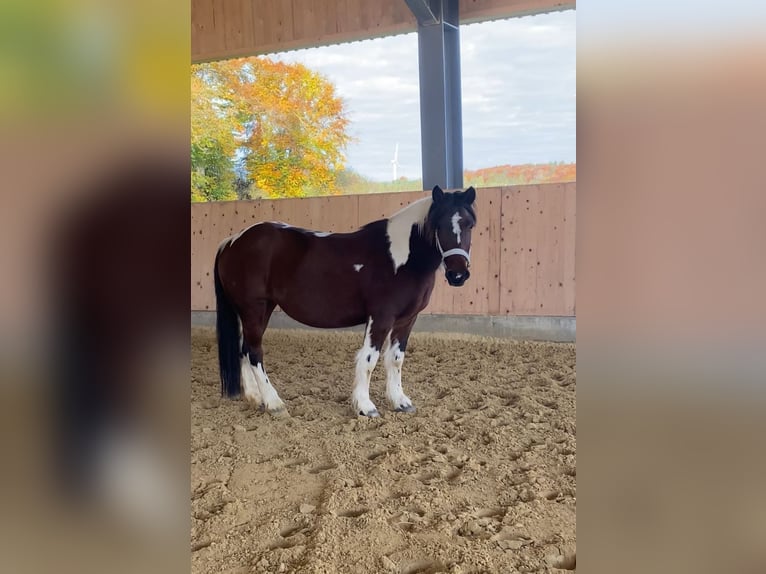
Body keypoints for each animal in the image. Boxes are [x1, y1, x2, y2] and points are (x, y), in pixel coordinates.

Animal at [214, 186, 474, 418]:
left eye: (470, 224)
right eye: (439, 224)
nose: (458, 275)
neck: (401, 259)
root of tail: (232, 241)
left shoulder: (406, 320)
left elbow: (396, 359)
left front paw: (400, 402)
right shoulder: (380, 317)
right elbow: (369, 359)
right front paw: (365, 407)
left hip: (257, 310)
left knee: (244, 350)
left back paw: (255, 398)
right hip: (254, 309)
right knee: (254, 352)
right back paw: (274, 403)